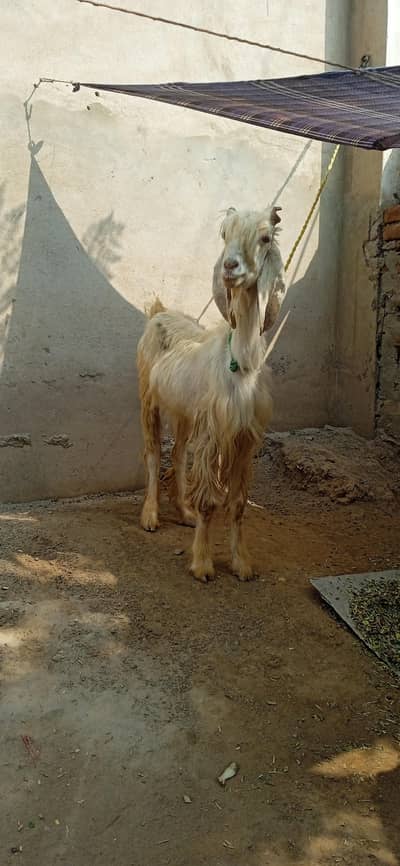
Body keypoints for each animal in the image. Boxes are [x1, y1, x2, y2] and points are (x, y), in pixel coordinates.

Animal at [137, 205, 286, 582]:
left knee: (177, 454)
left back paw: (183, 512)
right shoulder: (213, 431)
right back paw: (151, 516)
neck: (241, 365)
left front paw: (241, 562)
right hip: (148, 397)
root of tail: (160, 311)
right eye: (224, 235)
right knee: (152, 453)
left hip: (185, 412)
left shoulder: (245, 437)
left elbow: (238, 503)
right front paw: (203, 564)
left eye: (265, 237)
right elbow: (208, 501)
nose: (230, 267)